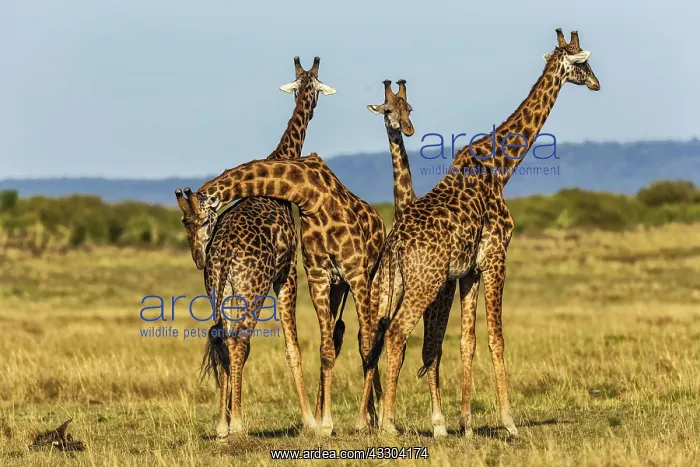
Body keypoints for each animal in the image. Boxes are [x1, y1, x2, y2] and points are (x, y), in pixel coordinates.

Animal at [175, 56, 335, 439]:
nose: (197, 257)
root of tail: (222, 255)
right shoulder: (287, 272)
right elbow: (292, 347)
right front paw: (309, 421)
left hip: (221, 290)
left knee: (221, 339)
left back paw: (222, 425)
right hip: (254, 288)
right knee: (240, 341)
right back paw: (238, 423)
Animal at [176, 153, 386, 435]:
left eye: (202, 220)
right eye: (183, 222)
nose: (199, 258)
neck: (311, 195)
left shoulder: (354, 273)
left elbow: (363, 345)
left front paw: (360, 421)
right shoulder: (318, 276)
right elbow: (325, 350)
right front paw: (325, 423)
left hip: (370, 279)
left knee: (369, 338)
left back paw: (374, 418)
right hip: (333, 288)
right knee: (335, 339)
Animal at [359, 29, 600, 438]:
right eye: (583, 62)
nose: (598, 83)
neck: (500, 167)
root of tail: (395, 243)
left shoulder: (469, 271)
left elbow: (467, 342)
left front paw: (467, 424)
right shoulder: (497, 257)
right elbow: (496, 339)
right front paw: (509, 423)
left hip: (390, 286)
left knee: (376, 339)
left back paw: (373, 421)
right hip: (425, 284)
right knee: (397, 334)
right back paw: (388, 424)